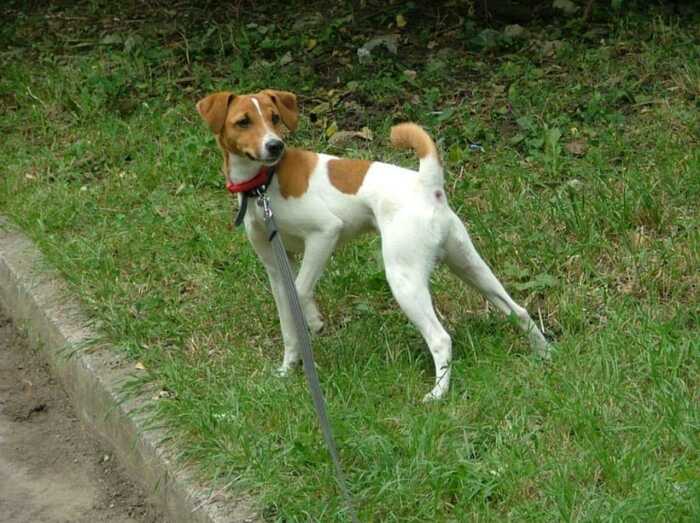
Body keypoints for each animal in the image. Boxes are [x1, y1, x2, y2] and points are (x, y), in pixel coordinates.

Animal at [197, 89, 551, 401]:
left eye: (273, 117)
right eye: (243, 121)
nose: (275, 146)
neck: (264, 185)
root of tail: (427, 184)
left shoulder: (324, 233)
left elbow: (301, 289)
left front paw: (314, 321)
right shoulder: (275, 268)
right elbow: (288, 321)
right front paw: (288, 368)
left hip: (404, 279)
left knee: (441, 339)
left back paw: (438, 393)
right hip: (470, 266)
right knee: (518, 311)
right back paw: (545, 353)